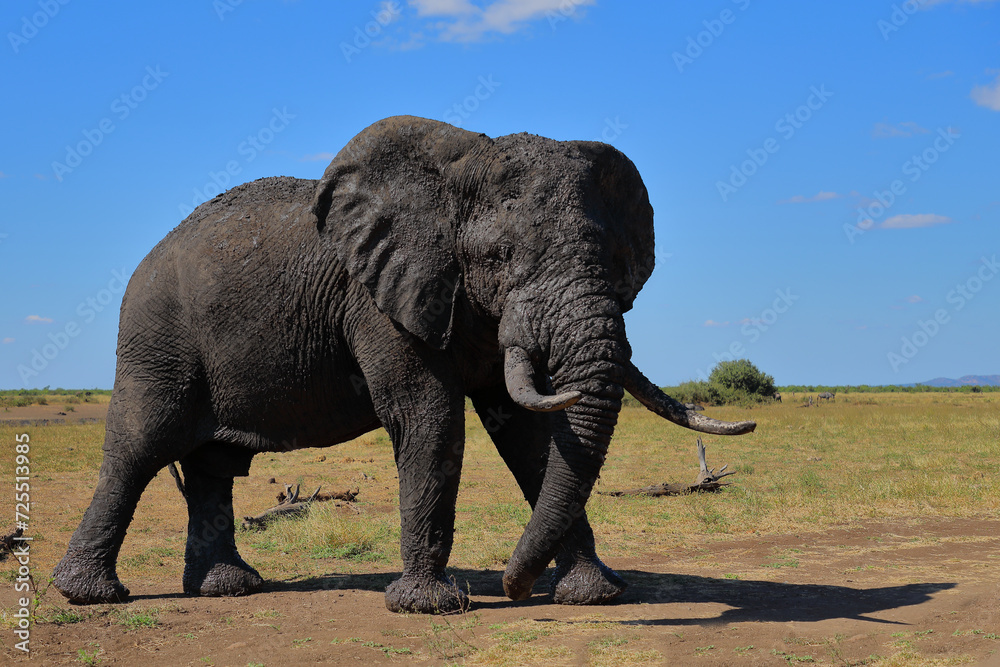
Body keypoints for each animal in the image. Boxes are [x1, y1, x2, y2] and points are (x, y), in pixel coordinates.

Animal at [53, 116, 755, 614]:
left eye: (615, 258)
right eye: (499, 256)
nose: (514, 586)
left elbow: (531, 436)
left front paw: (594, 596)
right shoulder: (377, 302)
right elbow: (429, 418)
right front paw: (429, 606)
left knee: (210, 466)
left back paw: (231, 589)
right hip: (156, 337)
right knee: (143, 445)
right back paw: (90, 596)